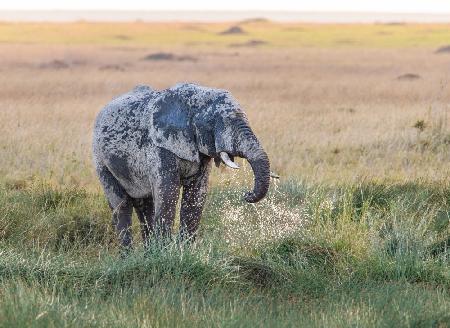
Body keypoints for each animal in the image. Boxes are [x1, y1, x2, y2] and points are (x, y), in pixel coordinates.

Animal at [92, 82, 270, 249]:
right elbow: (168, 192)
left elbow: (196, 194)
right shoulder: (159, 146)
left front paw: (183, 251)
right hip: (100, 160)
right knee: (121, 205)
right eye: (213, 123)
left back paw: (148, 252)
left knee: (145, 205)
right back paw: (129, 255)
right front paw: (163, 254)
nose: (247, 194)